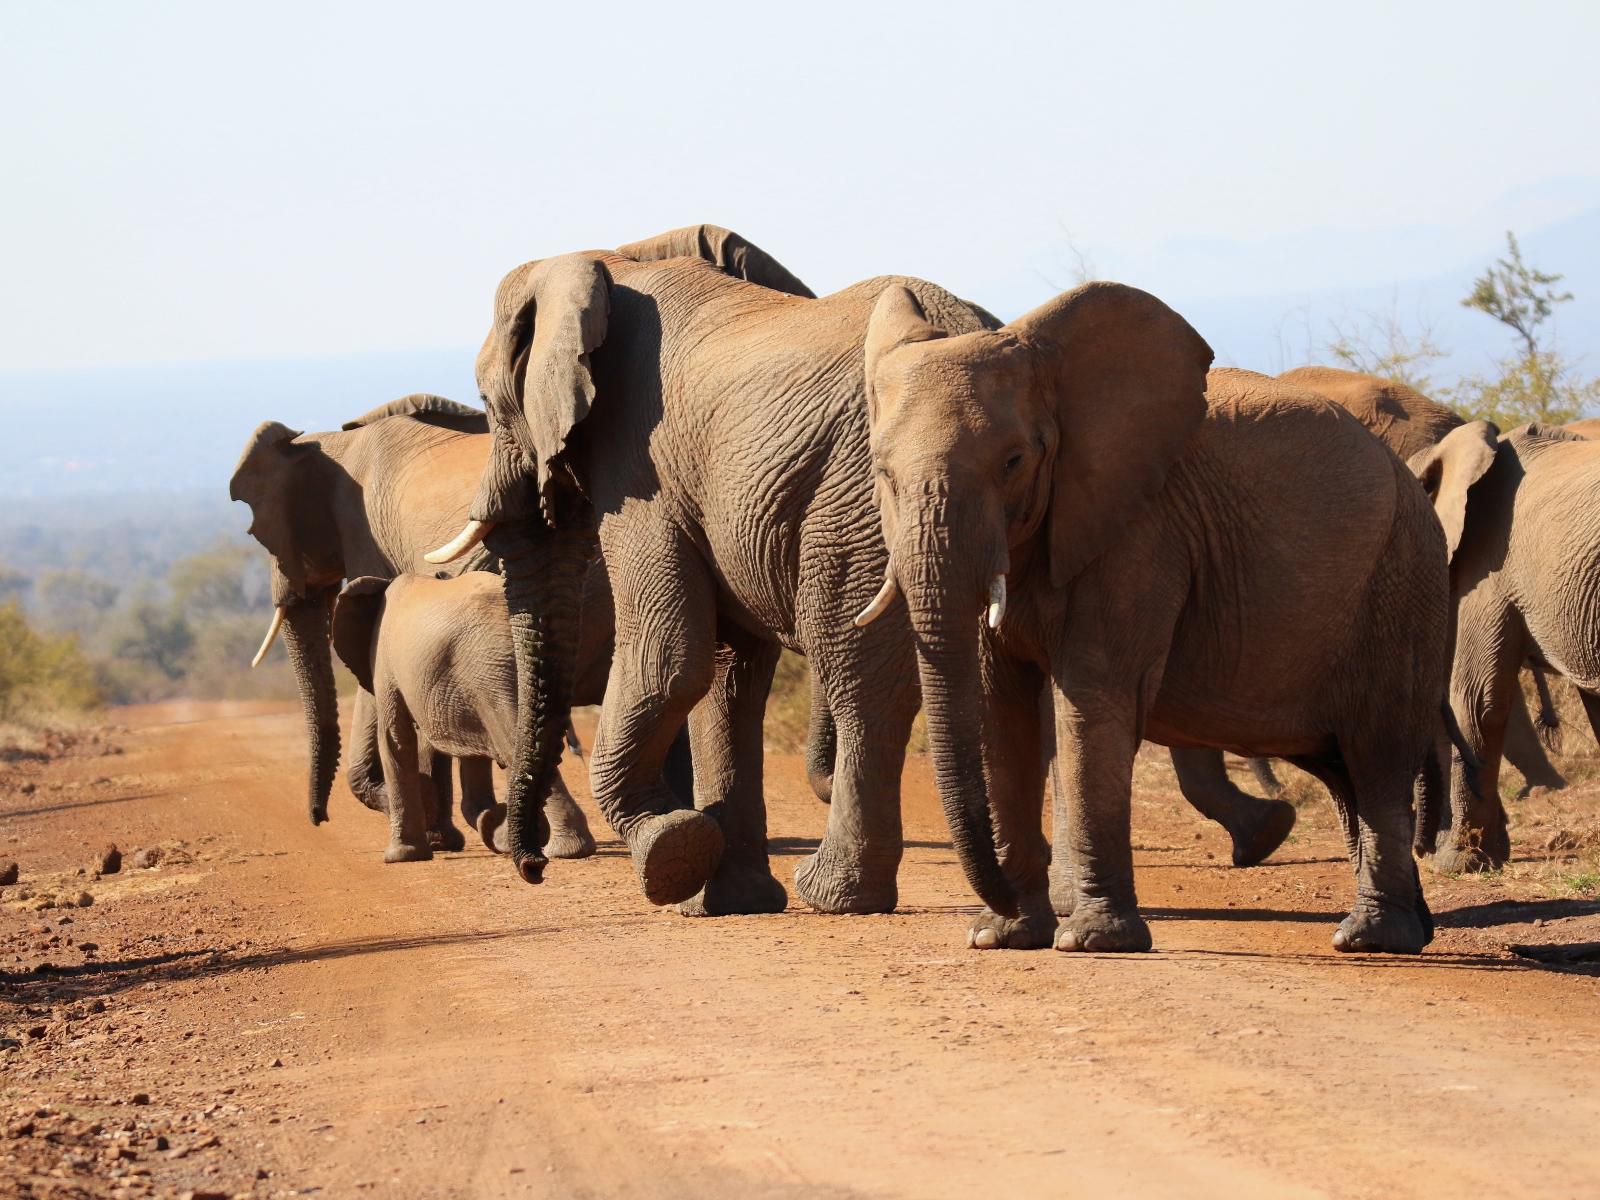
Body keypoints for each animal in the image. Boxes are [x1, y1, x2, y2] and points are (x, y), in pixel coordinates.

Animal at [328, 572, 598, 864]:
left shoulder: (386, 661)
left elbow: (396, 738)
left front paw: (400, 857)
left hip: (492, 672)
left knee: (511, 744)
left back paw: (564, 849)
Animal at [864, 284, 1452, 960]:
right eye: (882, 473)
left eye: (1013, 461)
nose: (1001, 900)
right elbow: (999, 708)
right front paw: (1002, 936)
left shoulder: (1142, 533)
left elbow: (1091, 698)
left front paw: (1091, 942)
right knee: (1342, 769)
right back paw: (1410, 928)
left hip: (1403, 579)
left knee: (1376, 755)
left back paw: (1372, 937)